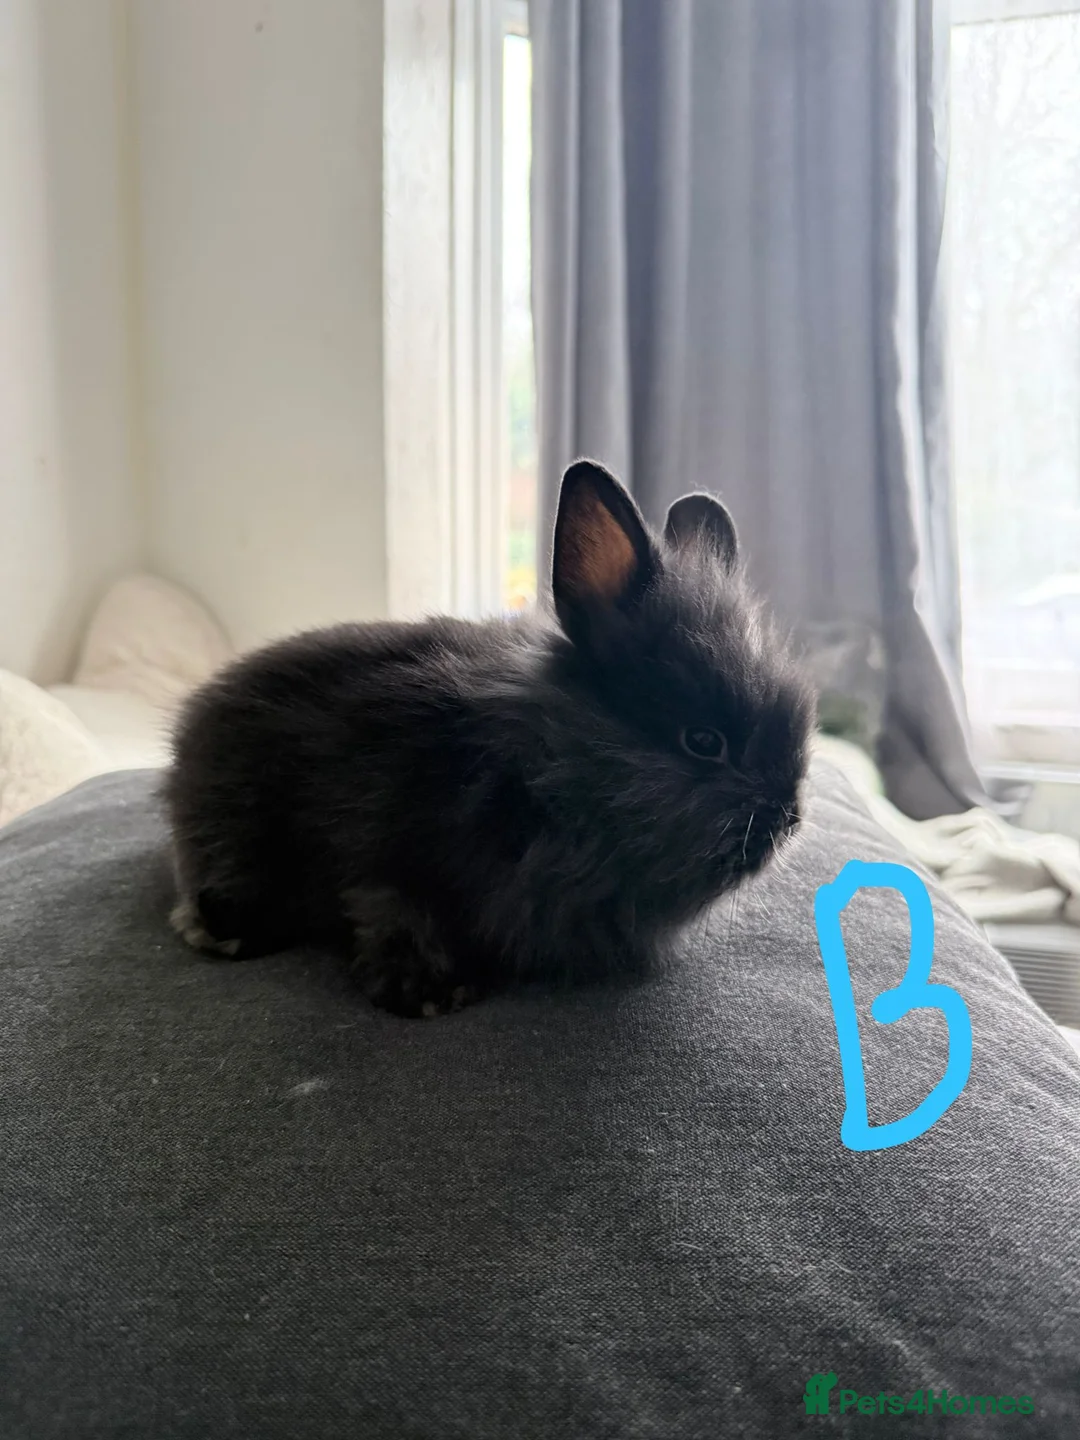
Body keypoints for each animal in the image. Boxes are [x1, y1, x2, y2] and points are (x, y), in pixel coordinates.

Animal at [163, 459, 816, 1017]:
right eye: (703, 741)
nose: (788, 818)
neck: (544, 774)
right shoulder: (384, 851)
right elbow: (390, 910)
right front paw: (429, 992)